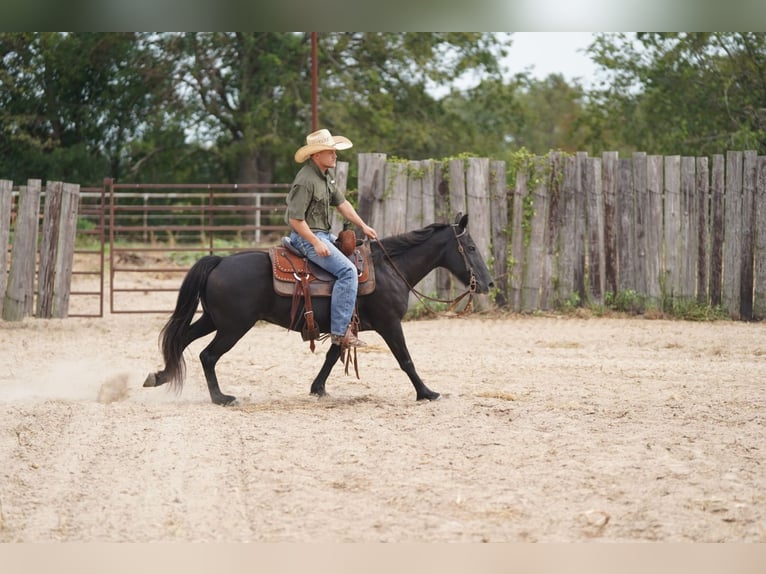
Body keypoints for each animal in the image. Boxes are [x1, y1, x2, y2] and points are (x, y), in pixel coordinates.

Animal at [143, 213, 494, 405]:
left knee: (181, 340)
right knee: (207, 355)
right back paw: (221, 398)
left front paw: (318, 389)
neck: (389, 269)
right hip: (233, 326)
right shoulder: (389, 323)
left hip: (213, 320)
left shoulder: (346, 323)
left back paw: (159, 377)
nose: (489, 283)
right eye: (471, 247)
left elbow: (331, 355)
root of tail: (219, 261)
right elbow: (405, 359)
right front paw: (427, 393)